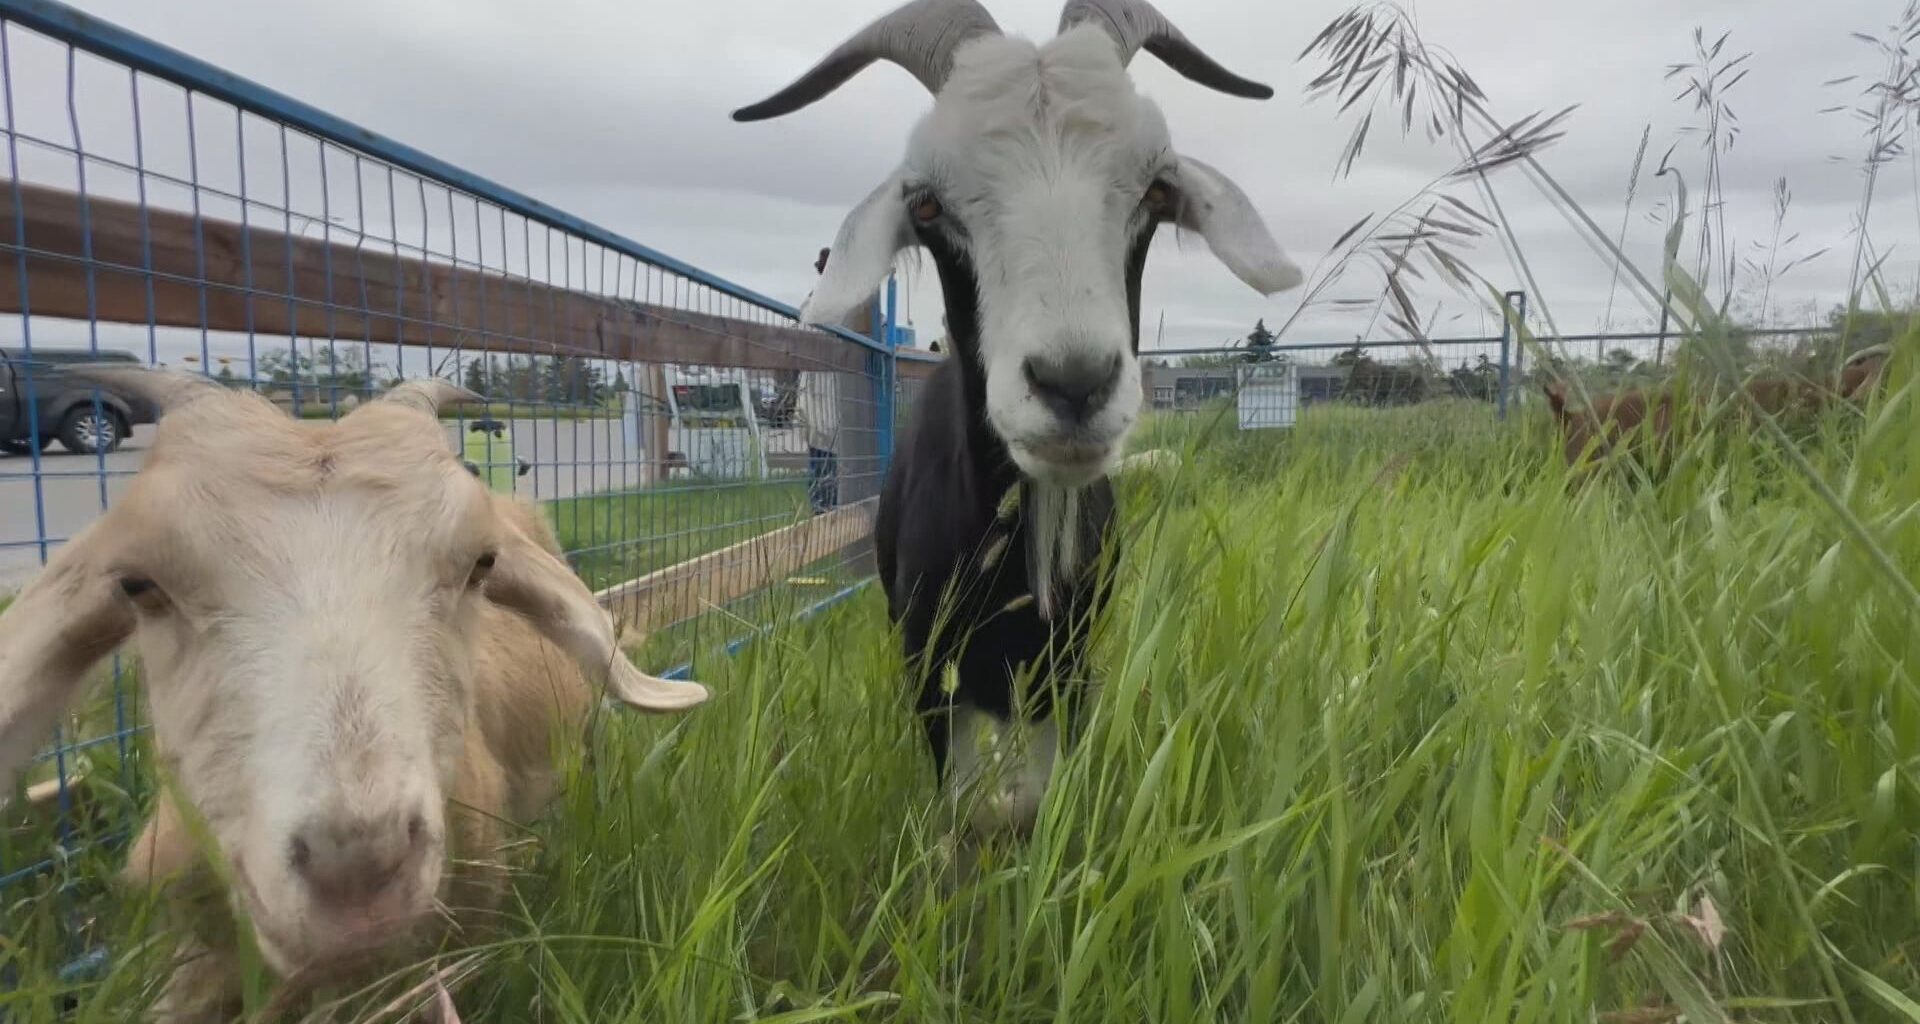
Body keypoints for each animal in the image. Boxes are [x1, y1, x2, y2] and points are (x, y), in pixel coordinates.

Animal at [735, 0, 1302, 835]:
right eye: (928, 203)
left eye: (1157, 191)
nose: (1074, 384)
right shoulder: (927, 664)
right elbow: (961, 809)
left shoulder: (1067, 661)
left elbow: (1039, 795)